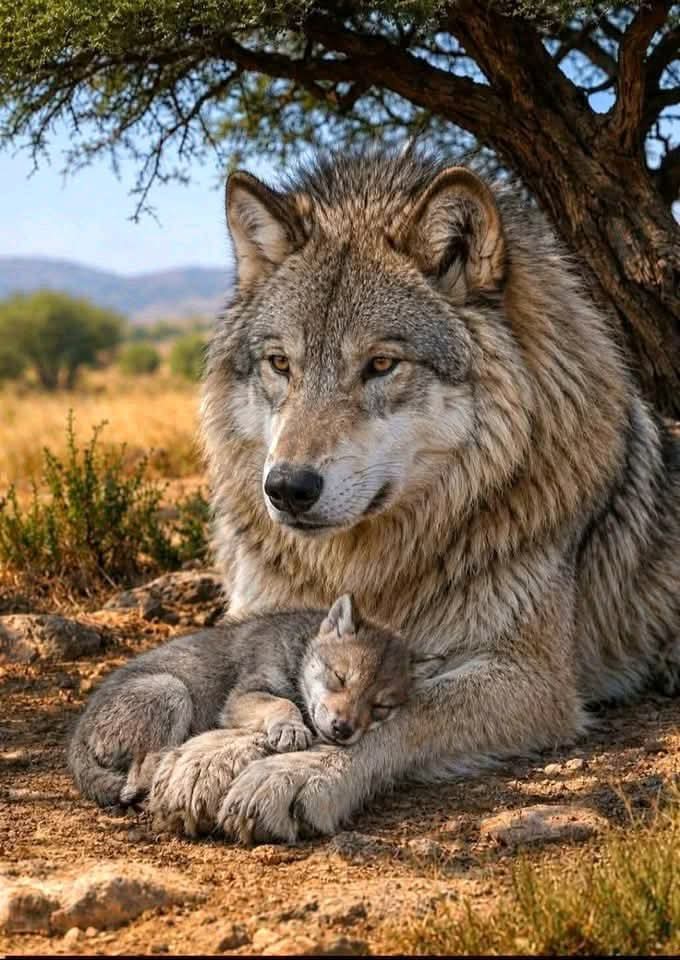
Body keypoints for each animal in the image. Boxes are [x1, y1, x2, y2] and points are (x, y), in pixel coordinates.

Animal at [68, 594, 422, 816]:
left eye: (380, 708)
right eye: (340, 678)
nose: (343, 729)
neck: (298, 650)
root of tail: (78, 734)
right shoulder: (241, 697)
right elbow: (282, 704)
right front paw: (291, 729)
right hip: (172, 690)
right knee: (140, 775)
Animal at [145, 148, 680, 843]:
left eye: (380, 365)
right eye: (281, 364)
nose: (286, 488)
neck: (369, 568)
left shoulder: (531, 676)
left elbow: (399, 714)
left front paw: (296, 774)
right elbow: (257, 690)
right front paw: (207, 757)